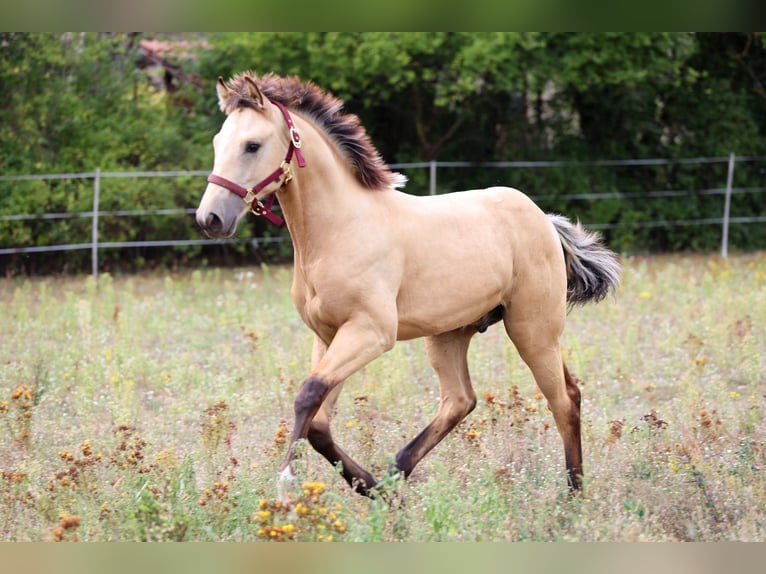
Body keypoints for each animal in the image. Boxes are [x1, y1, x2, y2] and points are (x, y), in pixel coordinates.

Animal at [196, 71, 621, 499]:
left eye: (252, 145)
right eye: (216, 143)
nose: (210, 218)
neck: (339, 229)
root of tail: (543, 219)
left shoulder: (371, 332)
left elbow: (308, 394)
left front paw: (286, 481)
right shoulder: (328, 336)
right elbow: (318, 422)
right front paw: (370, 487)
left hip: (533, 331)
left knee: (562, 400)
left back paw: (573, 495)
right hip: (450, 334)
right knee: (462, 400)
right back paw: (394, 473)